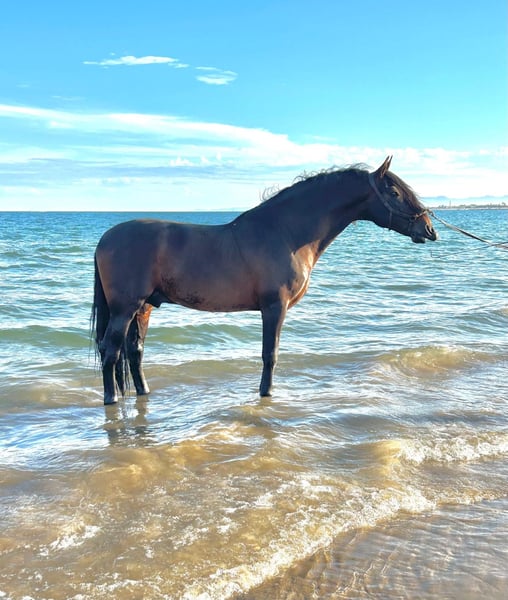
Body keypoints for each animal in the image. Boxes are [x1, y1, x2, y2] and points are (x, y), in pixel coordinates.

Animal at [92, 156, 438, 405]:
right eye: (394, 192)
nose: (429, 229)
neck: (285, 232)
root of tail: (105, 239)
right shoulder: (274, 306)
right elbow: (270, 354)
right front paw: (267, 393)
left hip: (145, 307)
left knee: (134, 351)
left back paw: (144, 393)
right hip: (125, 309)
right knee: (110, 350)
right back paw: (111, 399)